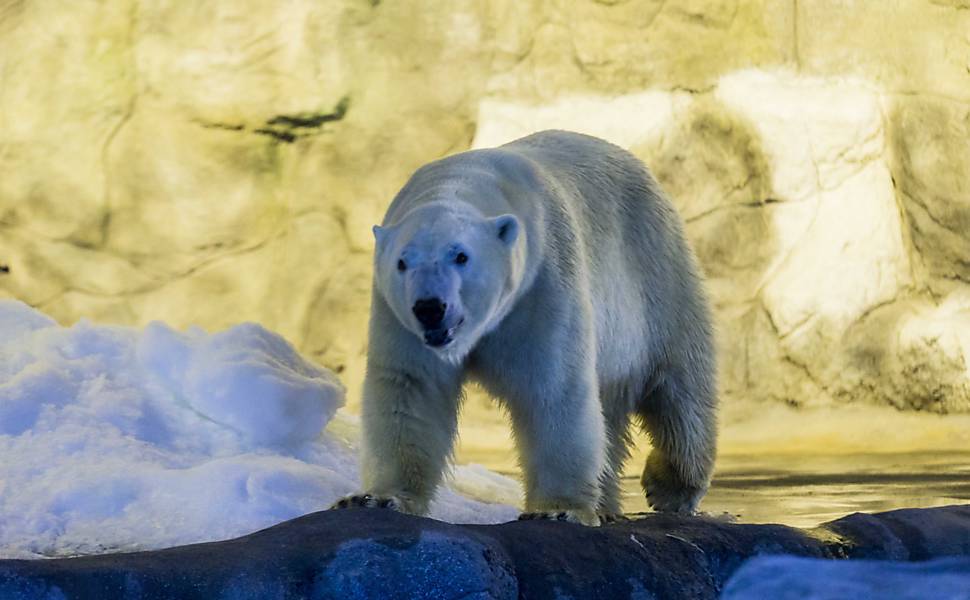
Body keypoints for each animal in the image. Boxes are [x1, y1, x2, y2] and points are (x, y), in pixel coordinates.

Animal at [328, 129, 716, 524]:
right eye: (402, 262)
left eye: (461, 256)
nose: (430, 308)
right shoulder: (396, 317)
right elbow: (411, 388)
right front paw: (375, 498)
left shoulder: (542, 283)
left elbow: (552, 387)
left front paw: (557, 510)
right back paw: (607, 505)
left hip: (655, 278)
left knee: (678, 390)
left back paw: (669, 486)